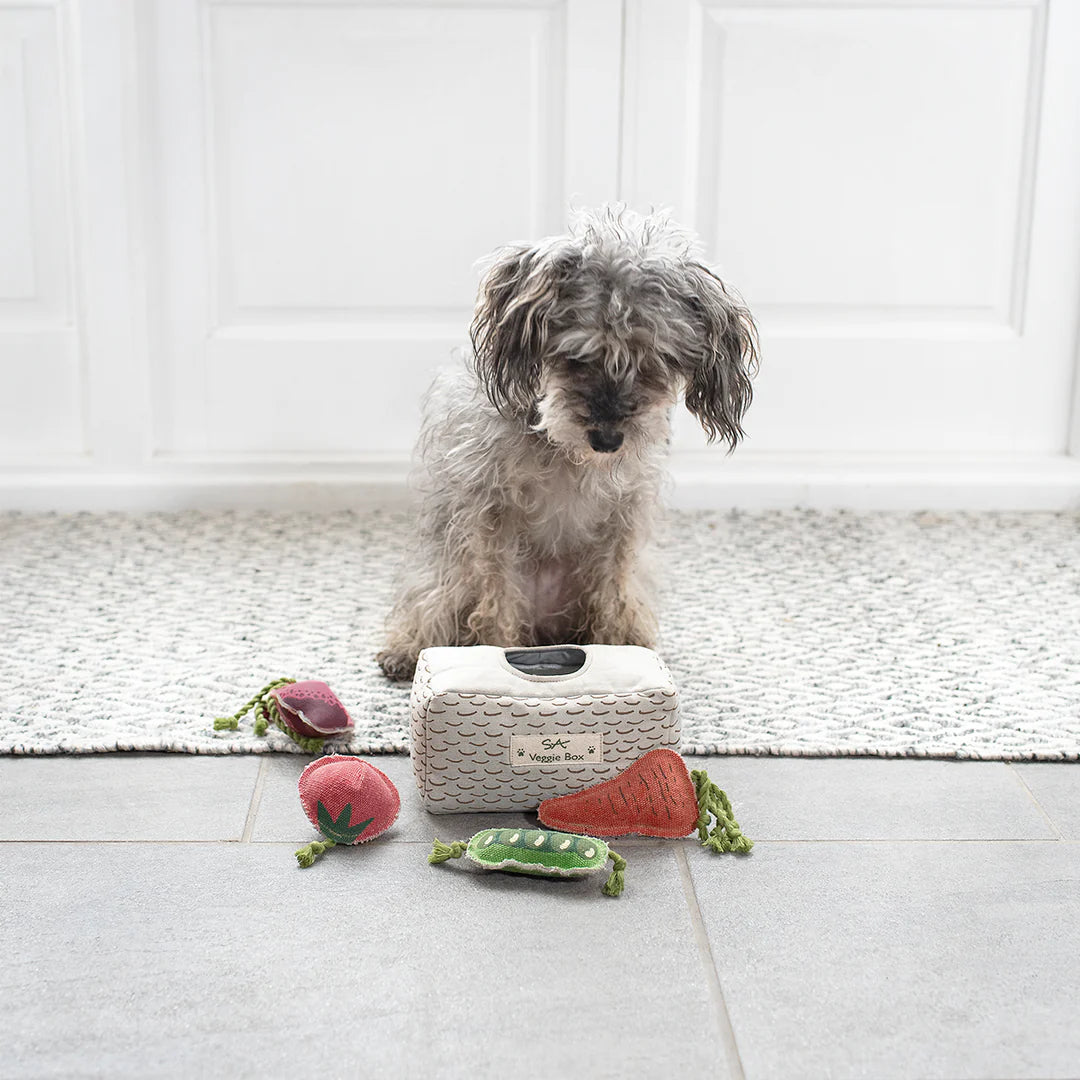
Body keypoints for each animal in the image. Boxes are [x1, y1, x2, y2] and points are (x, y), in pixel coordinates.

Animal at [380, 206, 760, 678]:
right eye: (578, 357)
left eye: (655, 361)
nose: (608, 439)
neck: (564, 452)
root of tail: (545, 627)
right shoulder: (491, 520)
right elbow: (497, 604)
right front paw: (496, 660)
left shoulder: (622, 521)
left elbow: (612, 596)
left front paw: (617, 655)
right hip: (445, 578)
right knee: (431, 609)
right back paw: (404, 651)